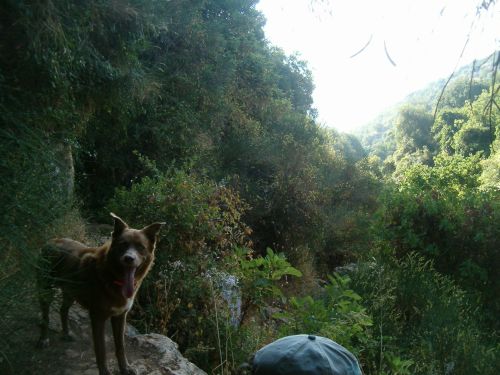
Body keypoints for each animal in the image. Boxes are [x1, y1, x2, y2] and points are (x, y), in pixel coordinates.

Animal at [38, 214, 166, 375]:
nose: (129, 258)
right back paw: (43, 339)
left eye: (140, 247)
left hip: (71, 292)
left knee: (63, 310)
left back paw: (66, 333)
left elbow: (120, 347)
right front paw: (105, 371)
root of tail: (51, 241)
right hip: (46, 290)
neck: (112, 278)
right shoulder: (97, 317)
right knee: (45, 316)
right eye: (123, 244)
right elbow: (101, 350)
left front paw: (125, 368)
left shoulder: (120, 316)